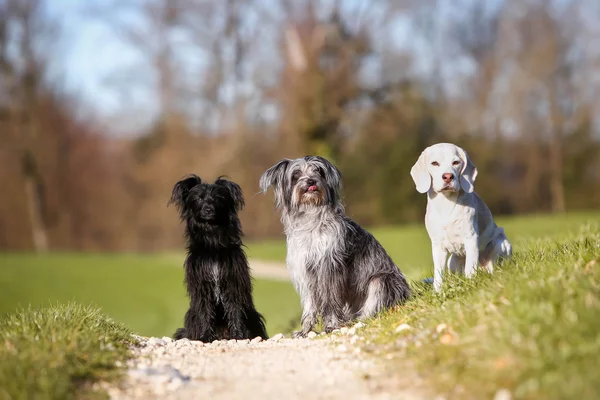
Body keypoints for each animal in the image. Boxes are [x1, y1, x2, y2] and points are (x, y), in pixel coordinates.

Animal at [171, 175, 270, 340]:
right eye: (199, 198)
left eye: (218, 198)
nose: (208, 209)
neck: (213, 246)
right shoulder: (202, 284)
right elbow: (205, 311)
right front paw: (205, 336)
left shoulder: (233, 282)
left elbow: (235, 309)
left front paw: (238, 335)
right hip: (191, 315)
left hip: (253, 315)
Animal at [260, 155, 410, 336]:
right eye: (296, 174)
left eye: (318, 171)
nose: (311, 181)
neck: (311, 220)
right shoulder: (306, 271)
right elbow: (310, 305)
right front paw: (305, 330)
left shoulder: (329, 267)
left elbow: (330, 301)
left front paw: (331, 325)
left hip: (381, 280)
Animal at [412, 143, 510, 290]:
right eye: (434, 163)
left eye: (456, 162)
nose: (448, 176)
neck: (446, 204)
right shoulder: (438, 245)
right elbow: (438, 274)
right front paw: (438, 291)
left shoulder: (471, 239)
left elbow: (470, 268)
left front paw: (471, 285)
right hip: (451, 262)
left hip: (500, 244)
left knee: (492, 267)